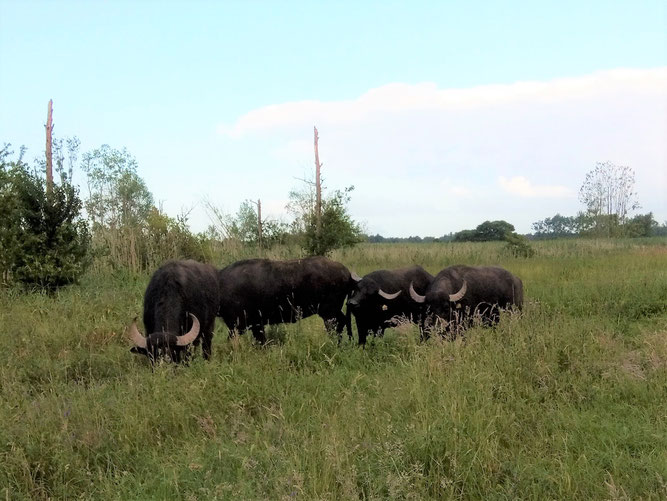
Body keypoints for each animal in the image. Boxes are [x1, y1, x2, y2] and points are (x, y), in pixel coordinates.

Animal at [218, 256, 354, 342]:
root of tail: (346, 272)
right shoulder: (254, 325)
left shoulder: (241, 325)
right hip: (334, 311)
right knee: (343, 321)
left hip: (329, 314)